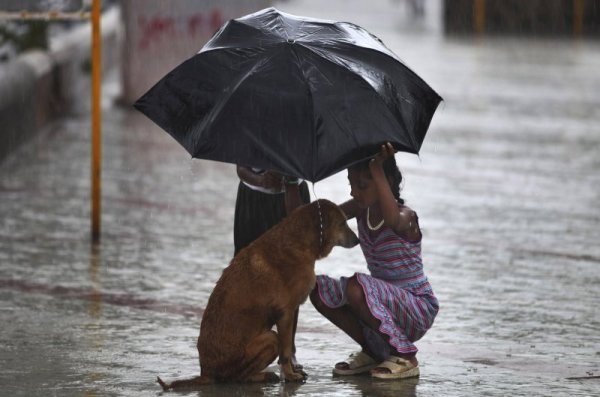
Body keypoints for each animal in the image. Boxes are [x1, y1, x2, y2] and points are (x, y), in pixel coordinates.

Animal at [157, 198, 358, 386]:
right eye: (342, 223)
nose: (357, 240)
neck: (299, 241)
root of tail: (205, 373)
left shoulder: (291, 312)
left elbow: (289, 348)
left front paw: (292, 371)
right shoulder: (285, 314)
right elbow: (286, 352)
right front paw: (290, 375)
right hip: (270, 338)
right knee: (237, 378)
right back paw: (263, 376)